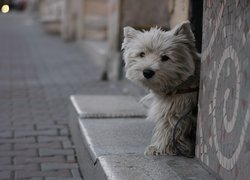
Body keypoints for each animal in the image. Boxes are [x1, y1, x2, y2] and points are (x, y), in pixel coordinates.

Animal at [121, 21, 199, 156]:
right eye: (142, 54)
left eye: (165, 57)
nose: (147, 72)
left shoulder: (174, 110)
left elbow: (168, 128)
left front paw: (158, 148)